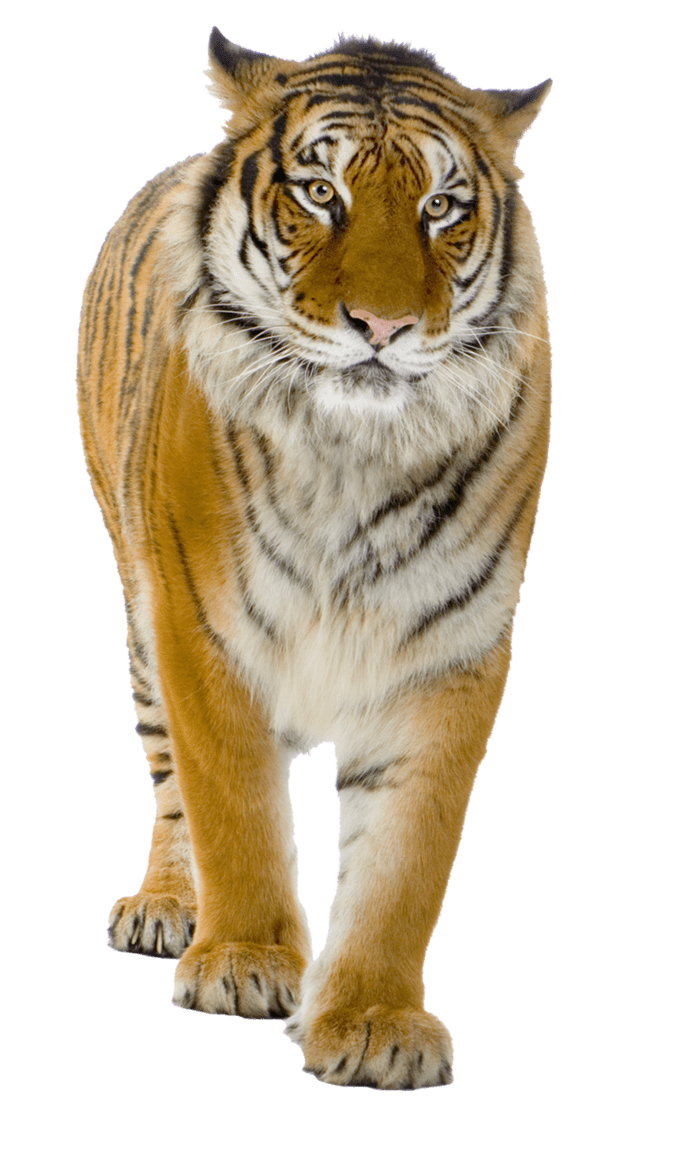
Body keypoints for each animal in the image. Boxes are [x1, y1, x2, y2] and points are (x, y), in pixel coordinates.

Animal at [76, 26, 552, 1090]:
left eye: (441, 206)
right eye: (321, 192)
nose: (382, 327)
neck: (353, 452)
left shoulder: (448, 650)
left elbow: (405, 861)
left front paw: (375, 1019)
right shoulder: (202, 625)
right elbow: (233, 809)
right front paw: (245, 961)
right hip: (137, 612)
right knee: (171, 786)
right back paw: (168, 906)